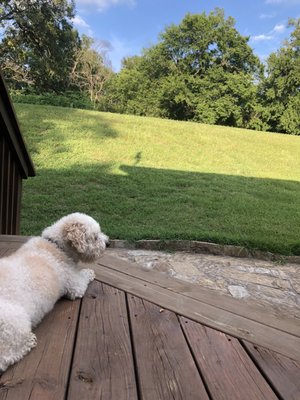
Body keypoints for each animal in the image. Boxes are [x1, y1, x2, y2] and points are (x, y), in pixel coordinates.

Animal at [0, 212, 109, 372]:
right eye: (95, 237)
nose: (108, 243)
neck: (57, 246)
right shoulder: (74, 284)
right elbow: (83, 277)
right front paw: (89, 272)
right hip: (14, 322)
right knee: (6, 357)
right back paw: (29, 342)